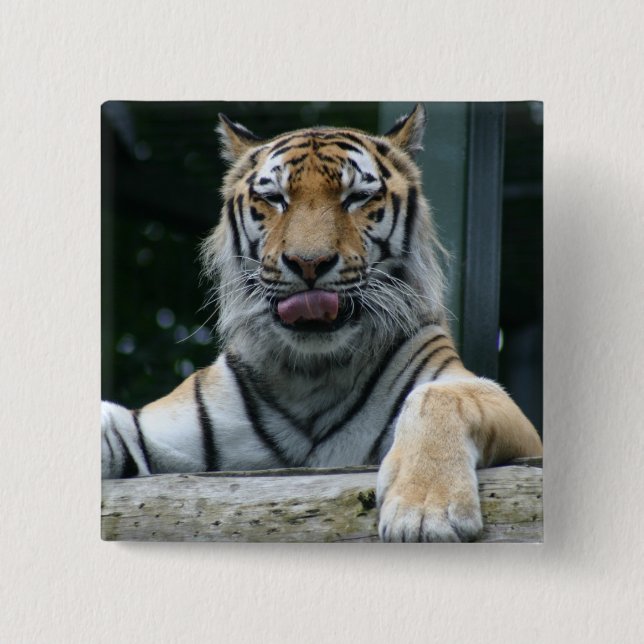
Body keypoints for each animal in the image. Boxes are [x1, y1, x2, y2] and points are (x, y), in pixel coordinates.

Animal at [101, 103, 543, 542]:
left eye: (357, 197)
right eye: (275, 198)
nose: (308, 263)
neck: (315, 372)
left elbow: (438, 397)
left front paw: (424, 512)